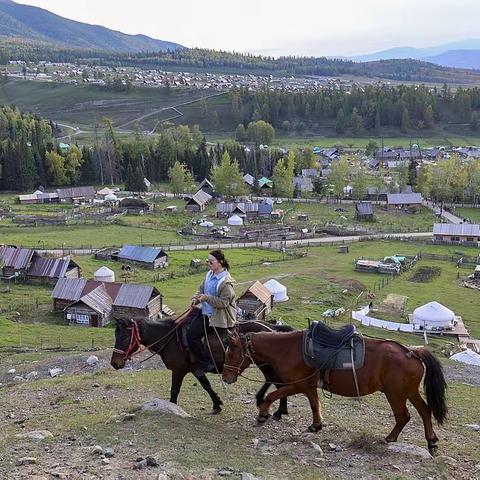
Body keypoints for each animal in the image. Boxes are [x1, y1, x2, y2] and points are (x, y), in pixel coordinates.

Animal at [111, 316, 294, 414]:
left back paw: (278, 410)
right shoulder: (195, 370)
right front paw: (217, 404)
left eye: (124, 337)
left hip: (264, 363)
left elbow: (174, 390)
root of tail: (271, 327)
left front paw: (172, 407)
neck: (171, 339)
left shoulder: (179, 370)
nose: (114, 363)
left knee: (277, 382)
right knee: (274, 381)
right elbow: (206, 386)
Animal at [223, 330, 448, 454]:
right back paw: (431, 441)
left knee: (403, 416)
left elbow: (271, 396)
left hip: (396, 394)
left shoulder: (297, 385)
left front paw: (262, 415)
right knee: (425, 411)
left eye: (232, 354)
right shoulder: (308, 387)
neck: (288, 349)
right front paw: (316, 425)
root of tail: (412, 352)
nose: (226, 377)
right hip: (408, 392)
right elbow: (315, 405)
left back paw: (390, 439)